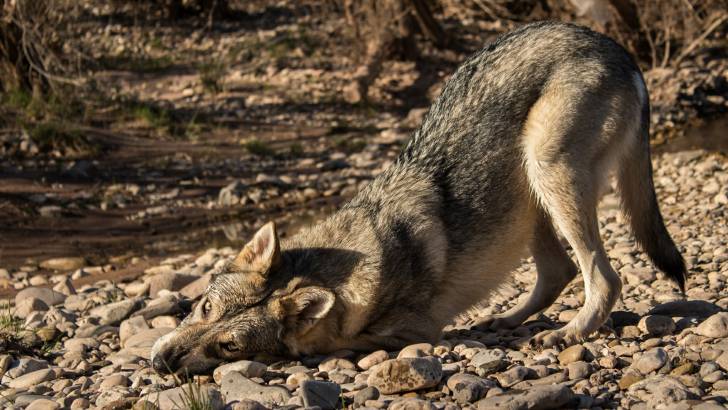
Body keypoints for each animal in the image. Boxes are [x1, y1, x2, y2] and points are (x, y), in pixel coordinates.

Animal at [151, 21, 686, 375]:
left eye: (229, 346)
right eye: (204, 310)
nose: (160, 363)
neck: (342, 273)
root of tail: (615, 47)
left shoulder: (410, 332)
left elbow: (354, 344)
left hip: (547, 170)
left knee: (602, 276)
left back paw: (571, 332)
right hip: (526, 194)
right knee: (560, 271)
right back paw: (506, 320)